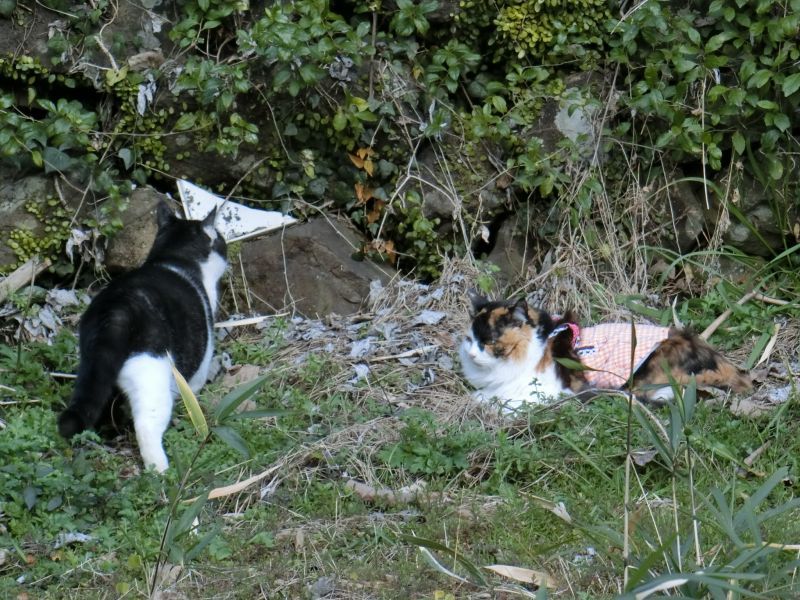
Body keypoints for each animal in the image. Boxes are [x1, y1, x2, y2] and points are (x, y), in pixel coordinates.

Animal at [59, 203, 227, 474]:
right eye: (220, 239)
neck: (175, 258)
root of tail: (115, 310)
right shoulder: (201, 360)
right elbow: (195, 385)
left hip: (93, 368)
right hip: (153, 373)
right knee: (147, 425)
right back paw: (160, 470)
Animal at [460, 290, 752, 410]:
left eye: (488, 341)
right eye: (470, 339)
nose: (472, 354)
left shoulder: (551, 390)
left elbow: (500, 398)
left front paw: (483, 400)